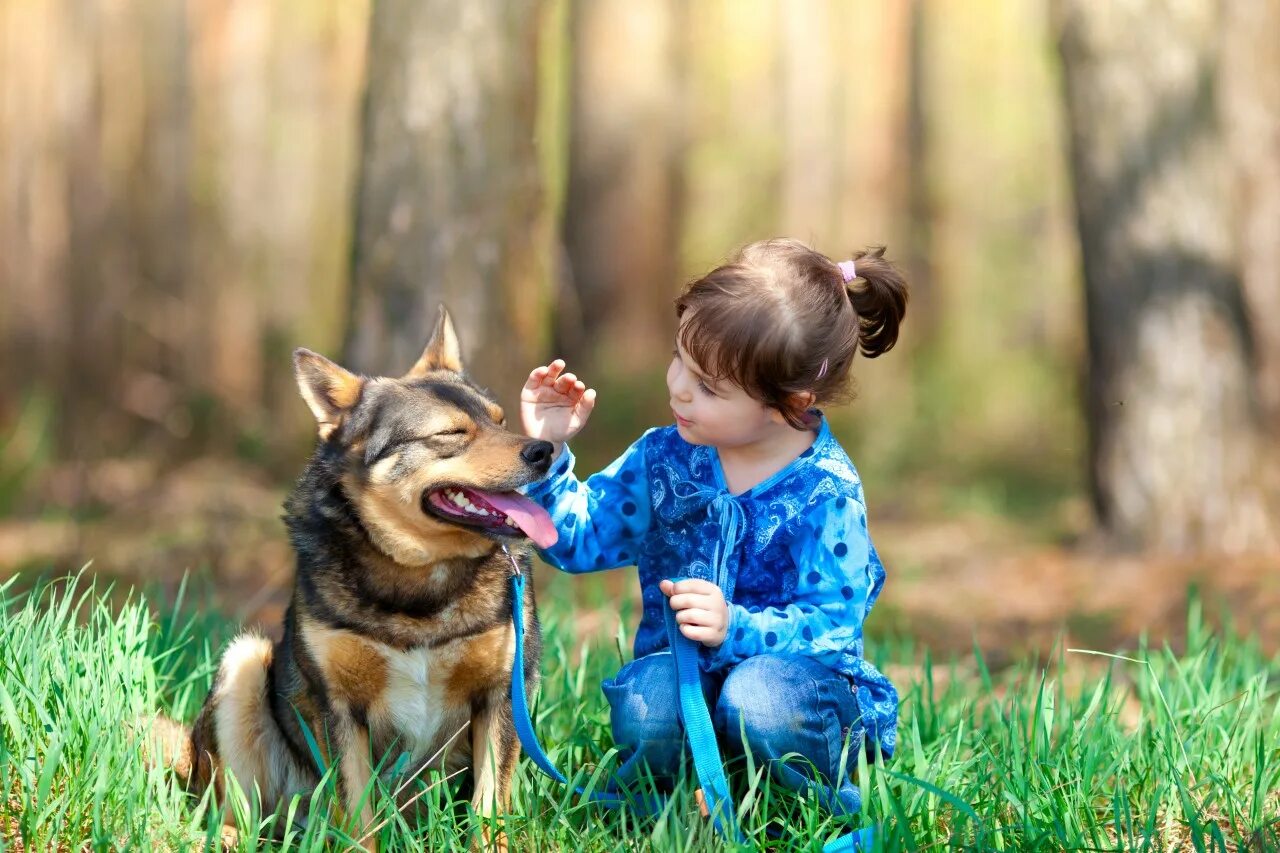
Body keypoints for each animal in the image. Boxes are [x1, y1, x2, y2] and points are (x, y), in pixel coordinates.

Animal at [157, 306, 558, 845]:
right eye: (451, 434)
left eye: (501, 421)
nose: (545, 450)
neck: (419, 579)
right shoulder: (339, 707)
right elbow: (357, 811)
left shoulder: (502, 695)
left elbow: (489, 806)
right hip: (244, 664)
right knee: (237, 809)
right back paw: (228, 837)